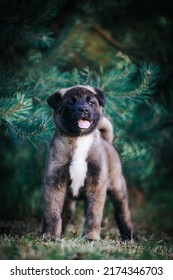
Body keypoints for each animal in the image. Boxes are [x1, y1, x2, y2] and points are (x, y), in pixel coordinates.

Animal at [42, 85, 135, 241]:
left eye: (91, 102)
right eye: (70, 102)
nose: (84, 109)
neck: (79, 139)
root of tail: (107, 141)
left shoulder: (96, 186)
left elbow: (93, 215)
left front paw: (91, 237)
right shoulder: (54, 184)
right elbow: (53, 214)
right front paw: (50, 236)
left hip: (118, 189)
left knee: (123, 213)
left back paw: (130, 235)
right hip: (69, 200)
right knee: (65, 215)